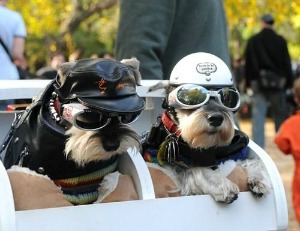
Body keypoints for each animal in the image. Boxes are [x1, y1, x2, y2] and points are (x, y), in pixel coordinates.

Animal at [143, 52, 272, 204]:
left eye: (228, 98)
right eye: (190, 99)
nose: (216, 118)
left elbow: (253, 161)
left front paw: (259, 178)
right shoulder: (177, 169)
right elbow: (198, 170)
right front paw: (223, 185)